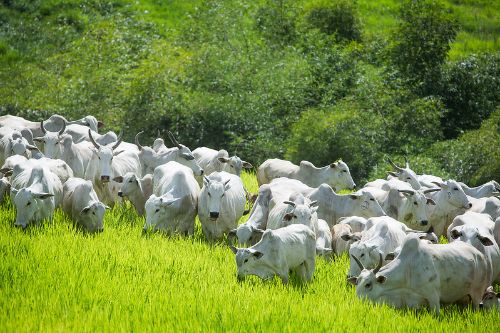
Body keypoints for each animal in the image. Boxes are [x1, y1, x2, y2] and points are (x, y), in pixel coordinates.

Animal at [348, 233, 488, 314]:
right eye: (357, 282)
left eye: (368, 285)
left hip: (477, 295)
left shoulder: (433, 298)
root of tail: (479, 255)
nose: (357, 301)